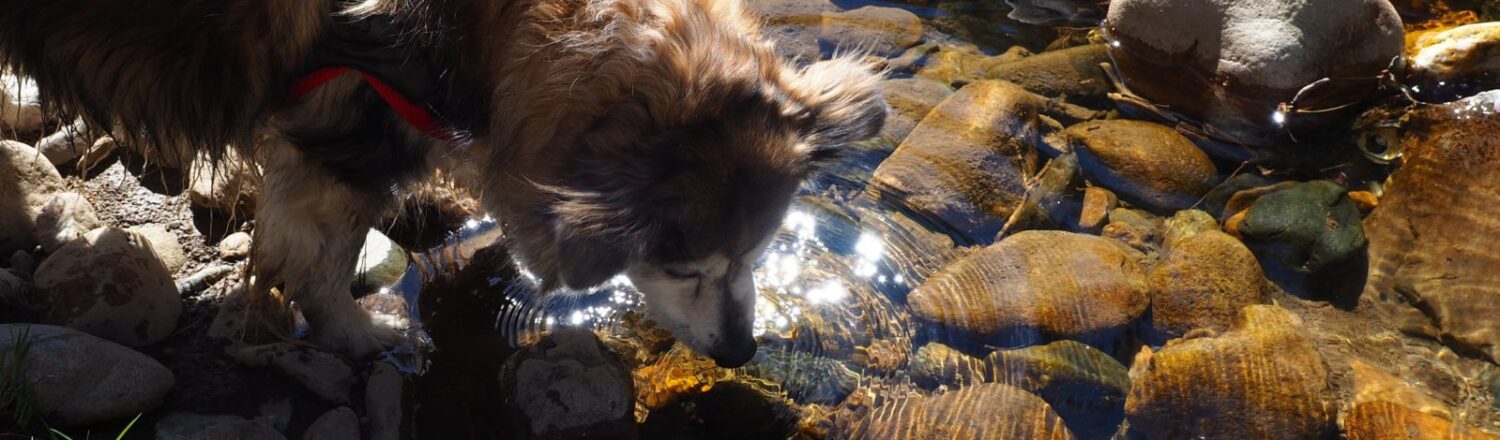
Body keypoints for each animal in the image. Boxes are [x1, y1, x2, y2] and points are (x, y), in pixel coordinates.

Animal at [0, 0, 885, 367]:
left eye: (759, 255)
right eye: (681, 268)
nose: (742, 353)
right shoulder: (340, 142)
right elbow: (321, 259)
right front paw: (359, 336)